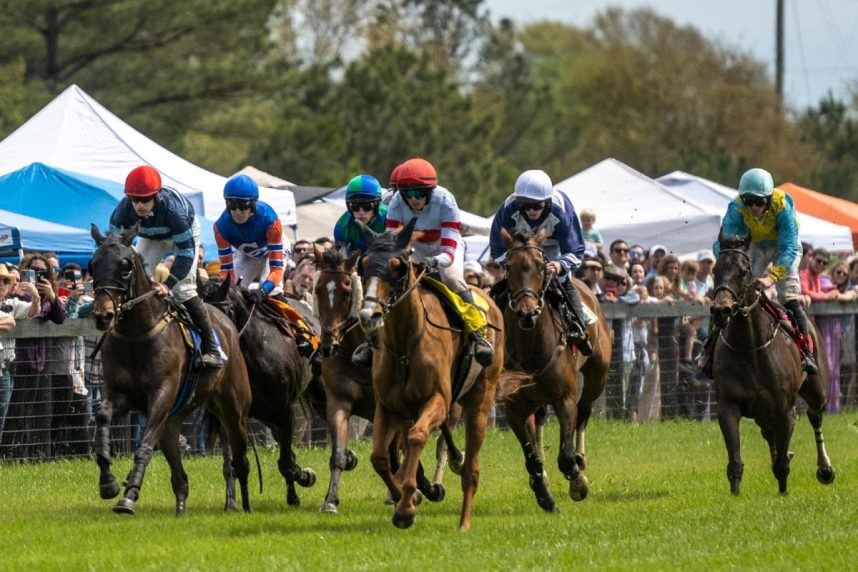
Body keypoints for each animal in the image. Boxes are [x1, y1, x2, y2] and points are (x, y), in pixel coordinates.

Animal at [89, 226, 252, 516]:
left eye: (125, 266)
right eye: (93, 264)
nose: (102, 315)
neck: (137, 333)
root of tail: (227, 324)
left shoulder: (161, 396)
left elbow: (144, 446)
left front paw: (128, 497)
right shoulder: (118, 394)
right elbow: (103, 417)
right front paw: (108, 482)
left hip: (233, 408)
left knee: (240, 457)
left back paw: (241, 504)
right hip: (175, 420)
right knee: (180, 474)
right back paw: (181, 507)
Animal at [310, 244, 452, 512]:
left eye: (347, 290)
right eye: (319, 288)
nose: (328, 345)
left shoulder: (390, 406)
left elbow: (398, 450)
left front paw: (414, 489)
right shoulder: (338, 402)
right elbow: (338, 453)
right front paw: (330, 499)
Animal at [356, 220, 508, 532]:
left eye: (396, 266)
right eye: (362, 264)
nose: (368, 315)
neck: (405, 344)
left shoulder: (437, 399)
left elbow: (416, 437)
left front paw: (406, 507)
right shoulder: (387, 406)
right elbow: (379, 457)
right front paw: (405, 497)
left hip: (480, 400)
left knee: (471, 467)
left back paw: (464, 523)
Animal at [498, 230, 612, 512]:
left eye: (540, 266)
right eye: (509, 266)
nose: (527, 313)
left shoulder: (565, 399)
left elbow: (566, 456)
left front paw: (578, 482)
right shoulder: (514, 407)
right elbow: (532, 459)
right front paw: (544, 495)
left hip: (597, 376)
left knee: (584, 411)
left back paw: (581, 462)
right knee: (539, 420)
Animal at [708, 237, 836, 496]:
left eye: (743, 271)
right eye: (715, 269)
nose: (721, 309)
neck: (749, 347)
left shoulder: (783, 410)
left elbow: (781, 463)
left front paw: (783, 492)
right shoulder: (728, 405)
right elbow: (735, 461)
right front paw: (735, 495)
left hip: (817, 390)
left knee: (814, 416)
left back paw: (825, 469)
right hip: (761, 412)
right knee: (769, 434)